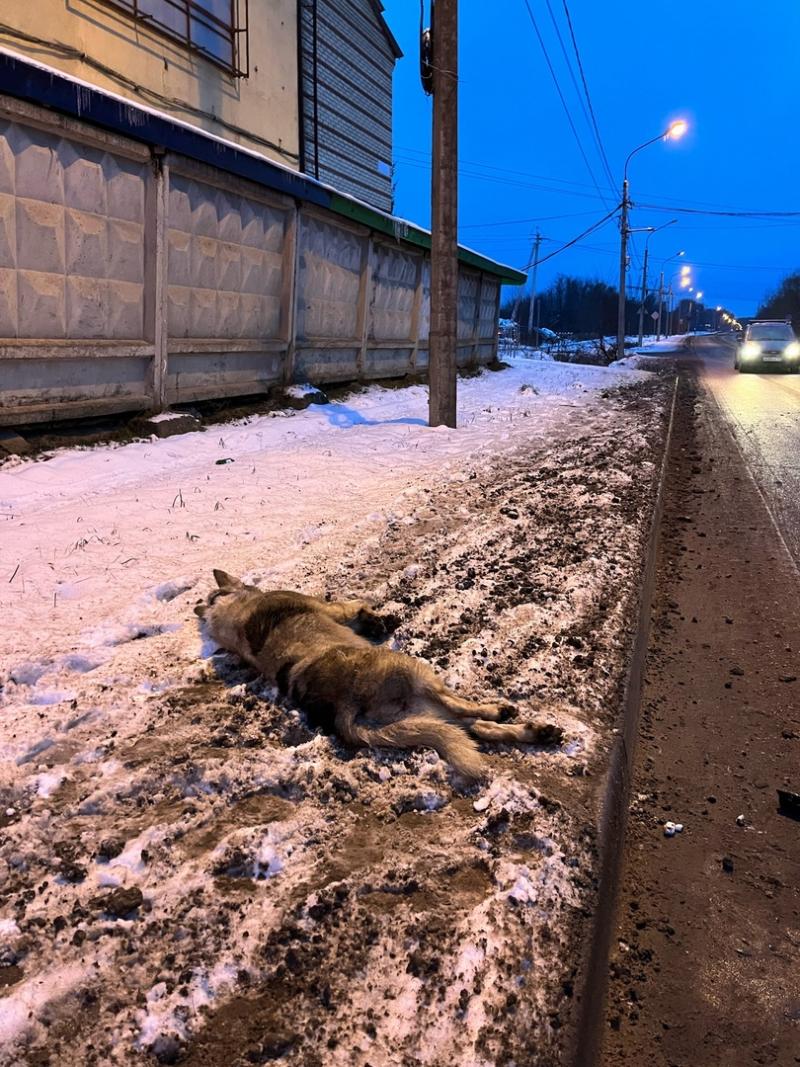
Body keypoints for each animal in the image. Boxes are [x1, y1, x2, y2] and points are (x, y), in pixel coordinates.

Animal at [197, 571, 563, 781]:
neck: (232, 612)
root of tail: (343, 709)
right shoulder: (332, 609)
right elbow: (355, 606)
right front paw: (378, 619)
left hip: (420, 712)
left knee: (474, 728)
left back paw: (537, 732)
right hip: (415, 673)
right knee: (465, 711)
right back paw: (500, 710)